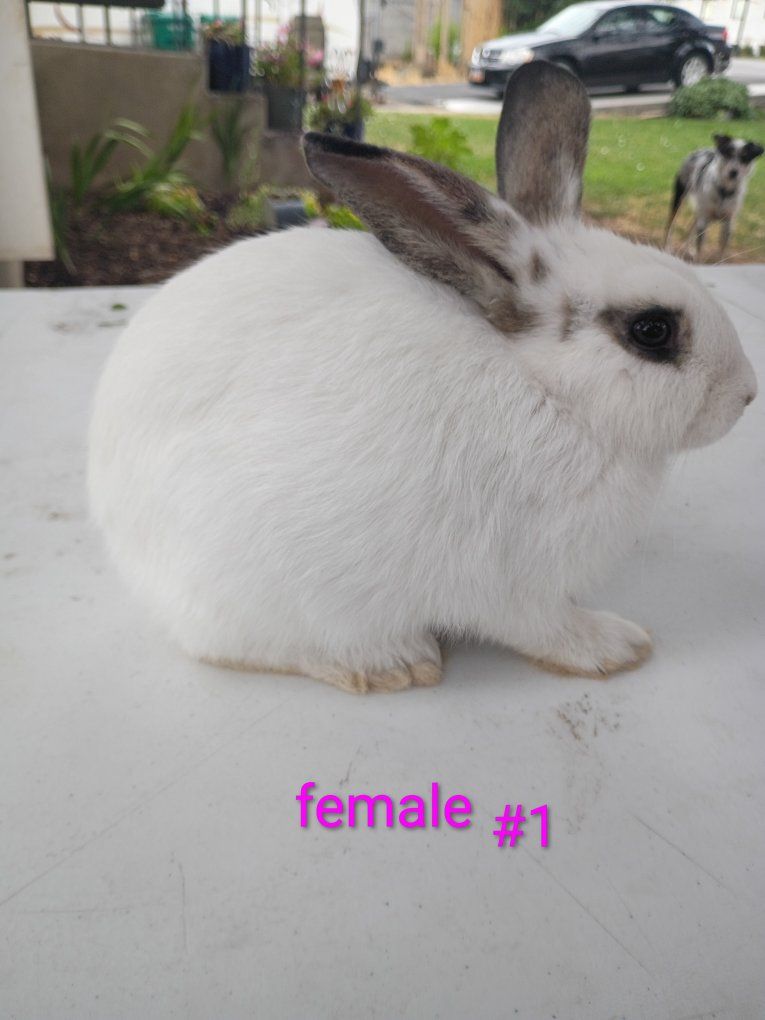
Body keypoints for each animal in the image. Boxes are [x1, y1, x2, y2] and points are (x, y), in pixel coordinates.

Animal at [88, 62, 757, 694]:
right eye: (652, 330)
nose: (747, 394)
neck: (554, 395)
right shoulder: (513, 582)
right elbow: (545, 627)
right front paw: (616, 646)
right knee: (240, 647)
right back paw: (393, 664)